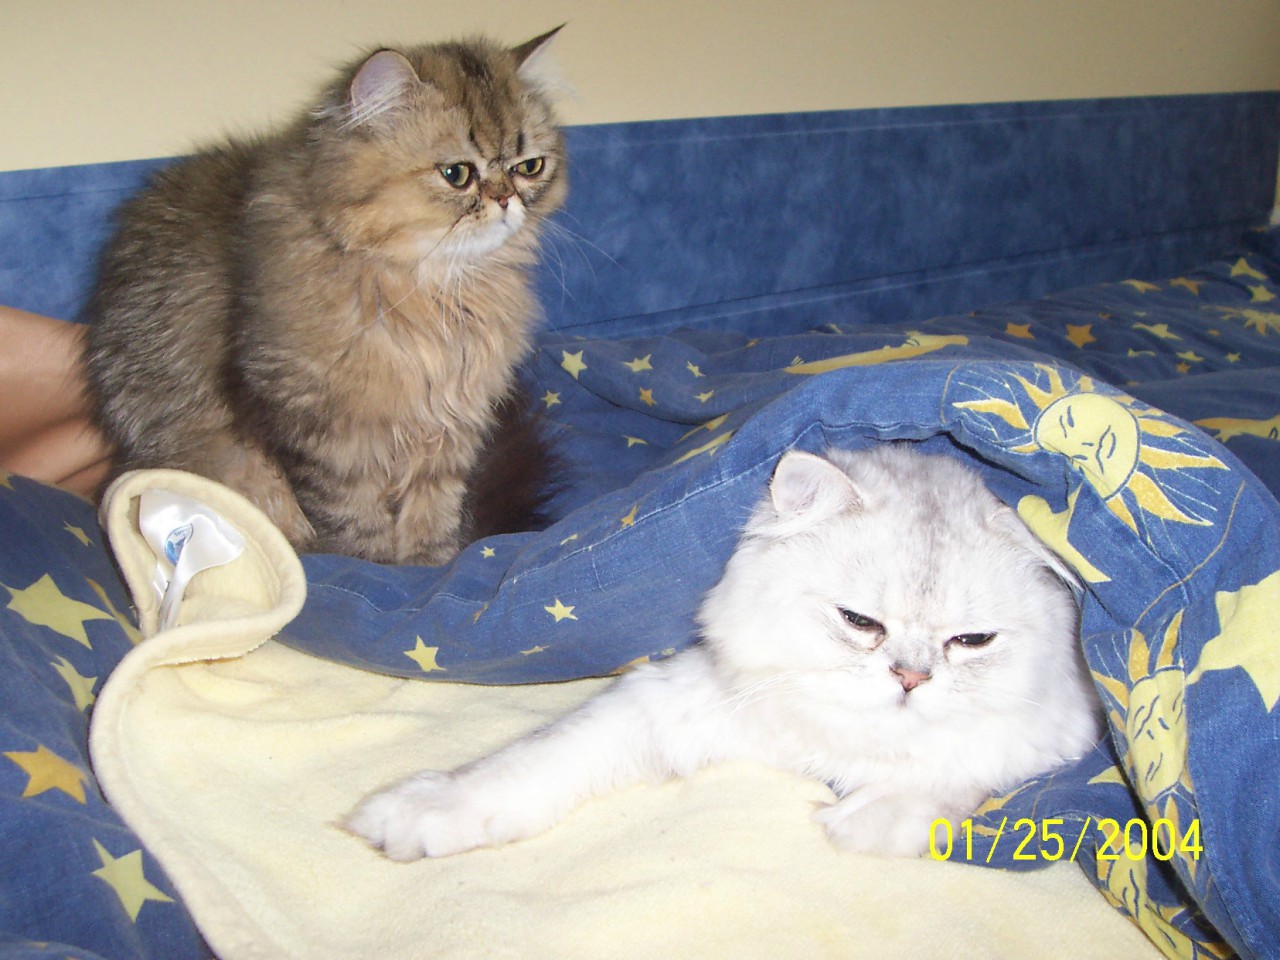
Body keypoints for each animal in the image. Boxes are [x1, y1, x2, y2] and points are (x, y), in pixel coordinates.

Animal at [84, 29, 568, 564]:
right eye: (457, 174)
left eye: (529, 167)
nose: (506, 200)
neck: (439, 293)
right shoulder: (320, 430)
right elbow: (352, 518)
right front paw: (377, 568)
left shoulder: (450, 428)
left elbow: (432, 511)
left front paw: (433, 564)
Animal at [346, 443, 1104, 859]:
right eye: (860, 622)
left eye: (971, 641)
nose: (910, 679)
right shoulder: (674, 699)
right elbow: (531, 761)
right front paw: (417, 815)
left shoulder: (1060, 733)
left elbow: (954, 770)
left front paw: (862, 824)